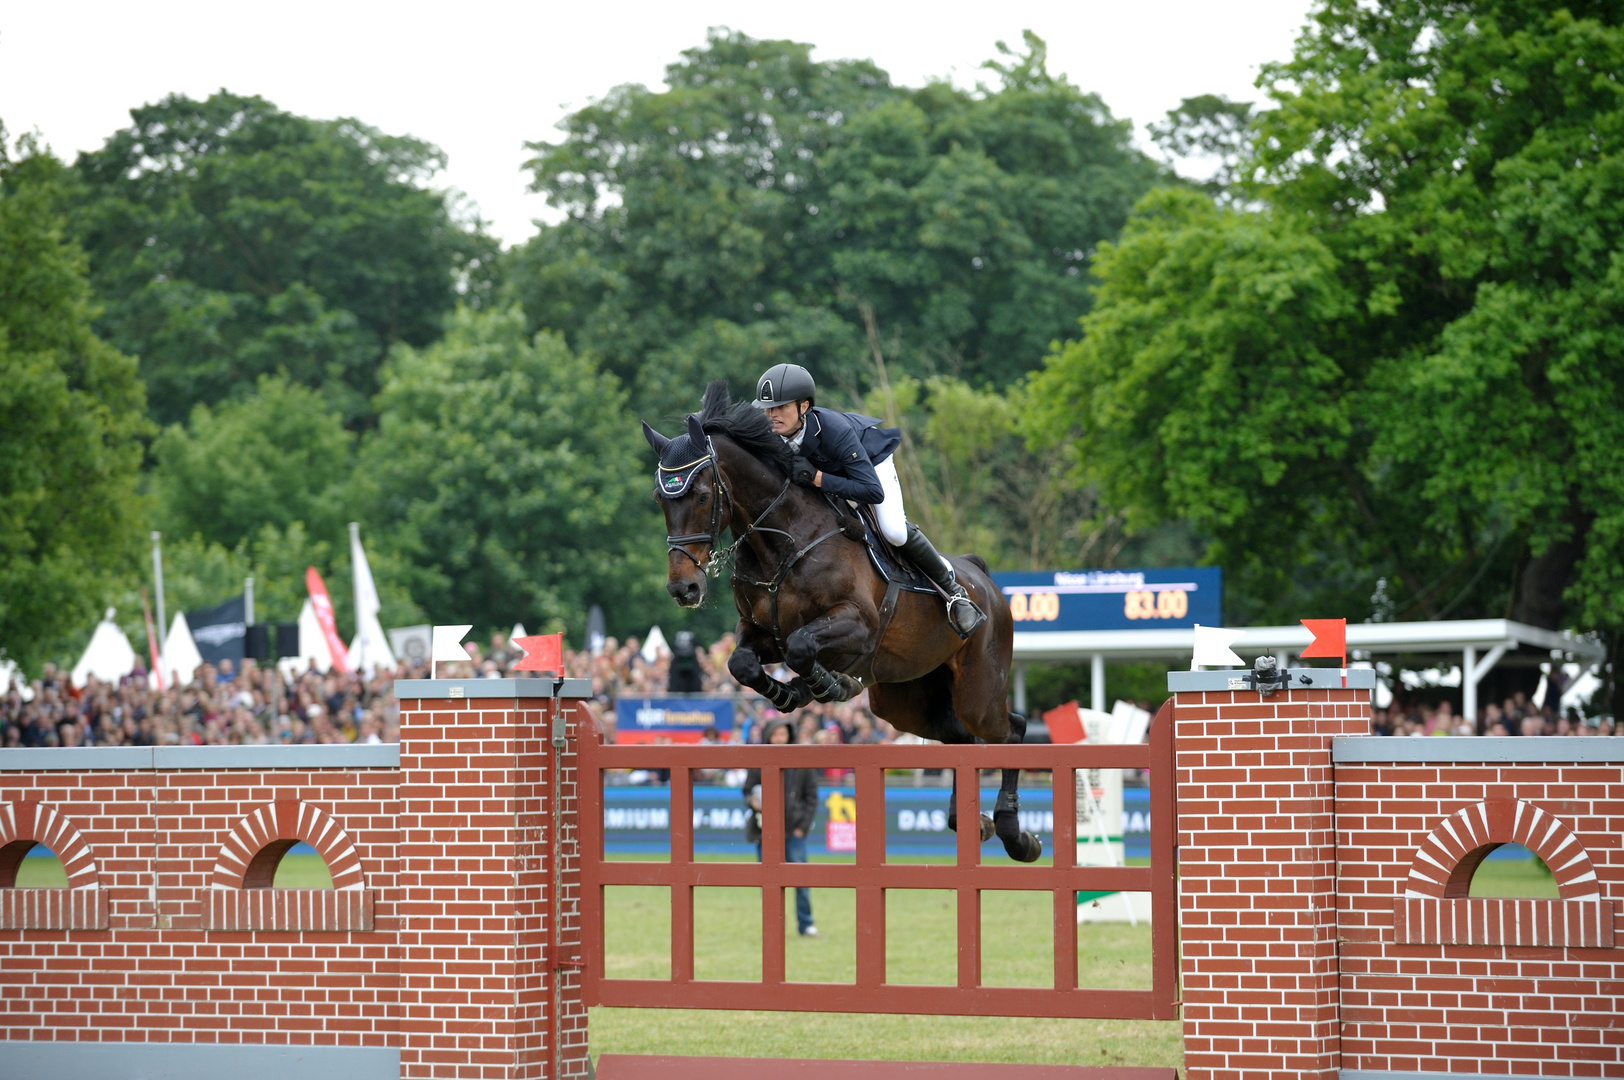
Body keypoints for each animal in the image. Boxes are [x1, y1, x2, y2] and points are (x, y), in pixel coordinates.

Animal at [643, 378, 1039, 857]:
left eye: (702, 496)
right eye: (660, 498)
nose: (683, 589)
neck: (783, 538)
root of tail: (984, 579)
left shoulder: (856, 625)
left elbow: (802, 649)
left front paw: (826, 685)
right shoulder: (761, 633)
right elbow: (742, 664)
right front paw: (789, 694)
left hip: (978, 689)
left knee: (1010, 730)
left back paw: (1015, 833)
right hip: (905, 700)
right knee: (959, 739)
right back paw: (970, 820)